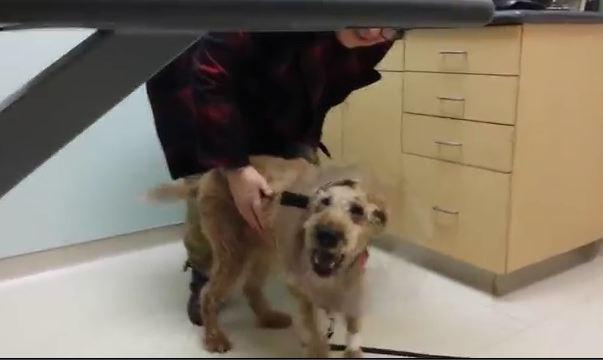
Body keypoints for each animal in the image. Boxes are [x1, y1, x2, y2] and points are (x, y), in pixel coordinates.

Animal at [149, 155, 390, 358]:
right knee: (208, 294)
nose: (326, 234)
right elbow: (314, 333)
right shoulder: (300, 289)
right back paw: (214, 337)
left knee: (250, 287)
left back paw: (268, 317)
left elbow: (353, 327)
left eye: (357, 211)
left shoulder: (353, 290)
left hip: (265, 249)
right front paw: (319, 348)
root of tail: (208, 175)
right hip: (232, 252)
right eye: (323, 202)